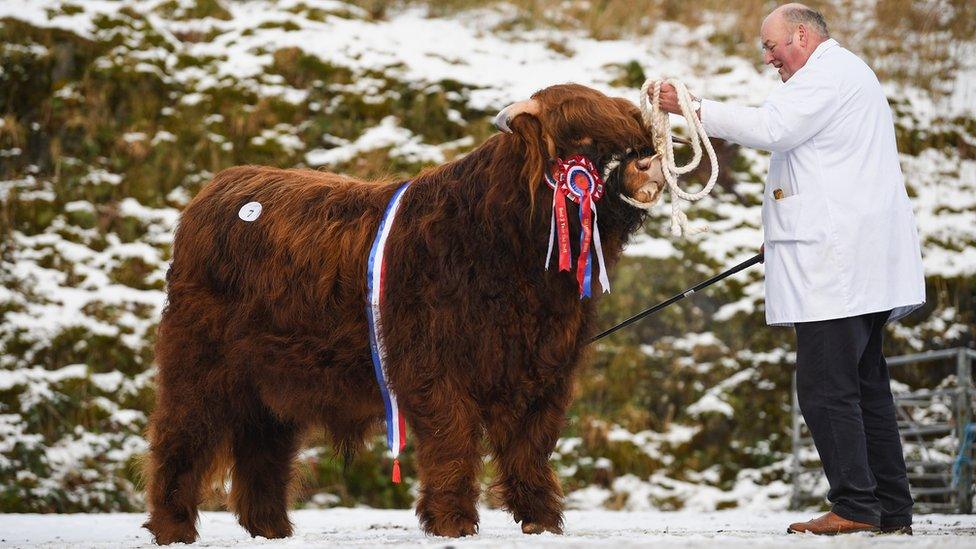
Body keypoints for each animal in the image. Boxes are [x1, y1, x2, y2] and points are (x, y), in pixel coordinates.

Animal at [143, 83, 664, 540]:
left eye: (631, 133)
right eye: (583, 140)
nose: (646, 160)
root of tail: (216, 189)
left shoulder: (543, 371)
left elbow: (529, 447)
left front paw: (540, 520)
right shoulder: (435, 368)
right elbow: (453, 443)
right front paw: (453, 522)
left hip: (271, 383)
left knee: (263, 451)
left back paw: (270, 529)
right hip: (199, 366)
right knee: (179, 438)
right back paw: (174, 529)